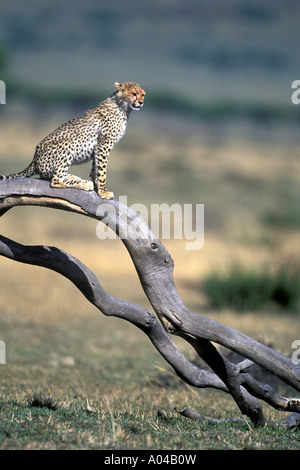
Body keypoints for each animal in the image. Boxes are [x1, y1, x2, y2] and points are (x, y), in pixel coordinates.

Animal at [0, 81, 145, 198]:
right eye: (133, 94)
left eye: (143, 94)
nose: (141, 102)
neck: (122, 107)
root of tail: (34, 160)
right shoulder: (103, 146)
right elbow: (102, 171)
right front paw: (103, 192)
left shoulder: (98, 148)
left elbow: (95, 168)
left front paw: (97, 185)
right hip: (67, 144)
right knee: (55, 180)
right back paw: (83, 183)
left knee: (50, 176)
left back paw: (74, 177)